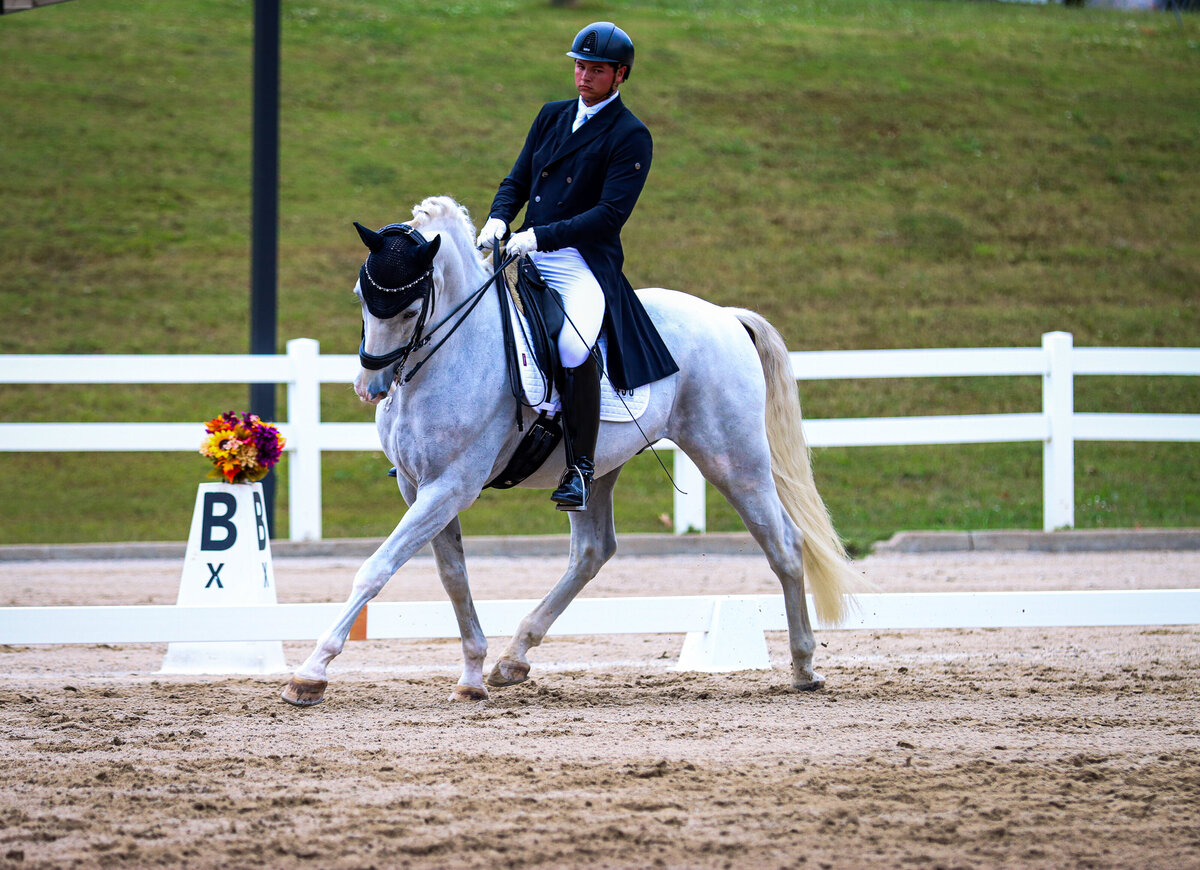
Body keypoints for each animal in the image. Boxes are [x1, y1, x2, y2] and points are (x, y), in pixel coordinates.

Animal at [282, 195, 860, 706]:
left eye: (408, 309)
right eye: (361, 296)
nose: (370, 388)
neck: (452, 356)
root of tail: (724, 316)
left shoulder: (450, 486)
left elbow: (376, 569)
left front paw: (310, 674)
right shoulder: (418, 486)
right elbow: (454, 577)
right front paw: (472, 677)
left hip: (733, 459)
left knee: (784, 544)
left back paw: (804, 666)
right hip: (597, 466)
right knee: (592, 551)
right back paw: (513, 658)